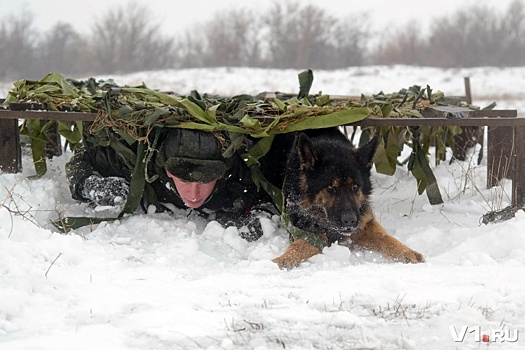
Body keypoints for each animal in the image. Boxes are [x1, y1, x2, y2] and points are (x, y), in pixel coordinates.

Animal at [264, 129, 424, 268]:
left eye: (355, 186)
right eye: (330, 187)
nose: (350, 221)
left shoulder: (365, 223)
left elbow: (385, 237)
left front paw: (407, 252)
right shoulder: (307, 231)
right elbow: (299, 245)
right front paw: (281, 260)